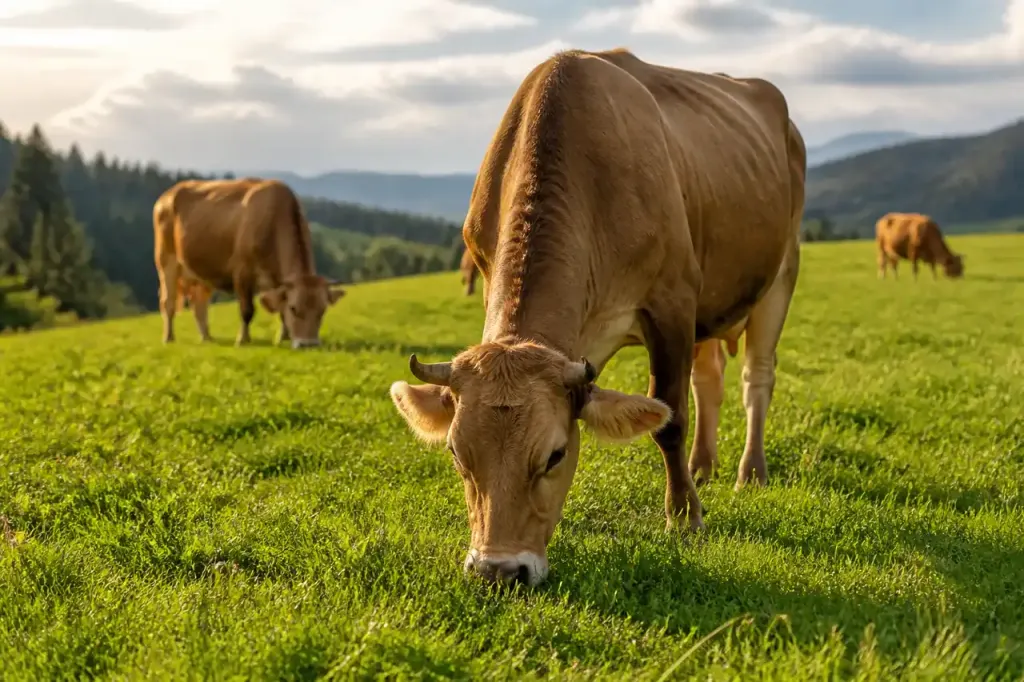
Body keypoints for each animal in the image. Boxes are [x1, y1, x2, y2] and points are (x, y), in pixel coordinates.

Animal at [153, 178, 345, 348]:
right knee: (168, 302)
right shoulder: (242, 272)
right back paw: (168, 337)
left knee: (199, 305)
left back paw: (207, 338)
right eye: (294, 308)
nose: (308, 344)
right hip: (166, 262)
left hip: (201, 271)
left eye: (322, 310)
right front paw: (243, 340)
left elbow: (279, 308)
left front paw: (283, 337)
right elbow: (247, 310)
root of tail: (167, 195)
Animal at [388, 48, 806, 586]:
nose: (499, 571)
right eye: (458, 454)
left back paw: (749, 473)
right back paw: (703, 467)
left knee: (757, 377)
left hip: (781, 271)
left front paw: (684, 517)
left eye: (555, 454)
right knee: (709, 379)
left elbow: (670, 416)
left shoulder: (672, 301)